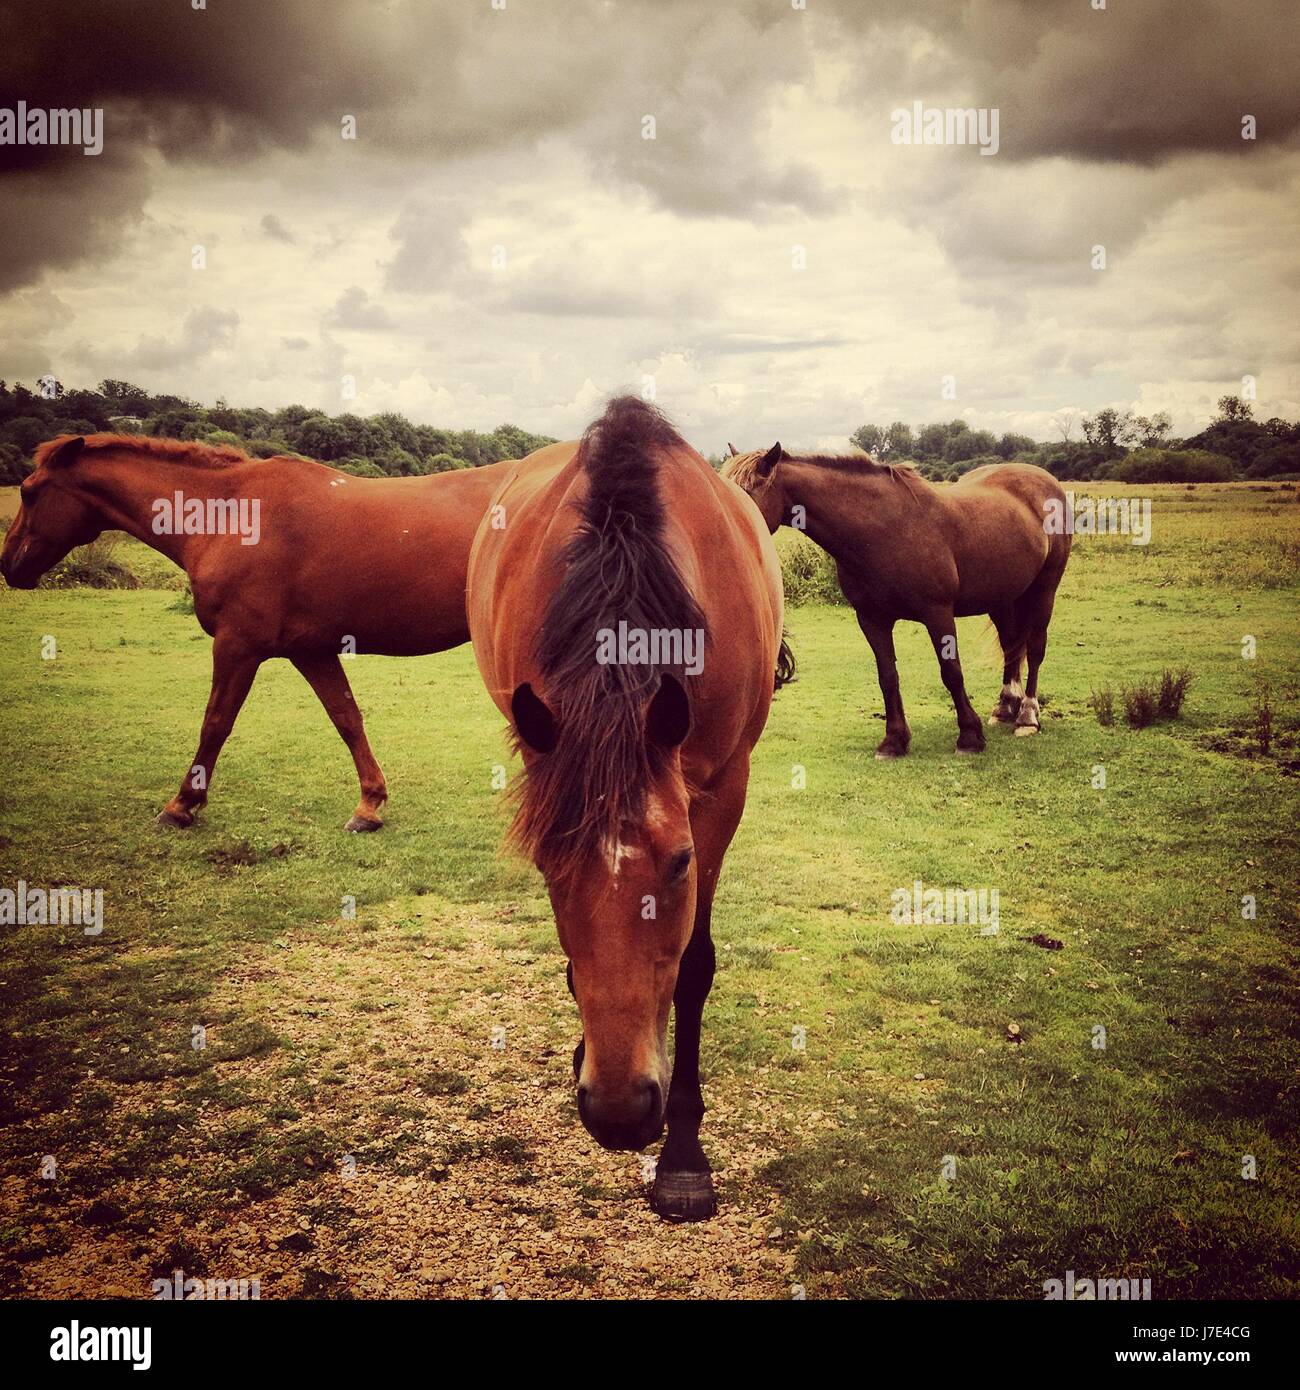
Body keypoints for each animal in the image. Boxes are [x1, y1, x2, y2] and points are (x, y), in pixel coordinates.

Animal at [2, 433, 517, 822]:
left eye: (28, 491)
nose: (8, 564)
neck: (229, 514)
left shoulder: (238, 646)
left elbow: (215, 722)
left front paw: (182, 804)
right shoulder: (312, 651)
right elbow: (347, 718)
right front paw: (370, 804)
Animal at [469, 397, 795, 1223]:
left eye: (679, 864)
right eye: (546, 867)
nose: (618, 1113)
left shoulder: (722, 792)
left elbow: (693, 965)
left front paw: (683, 1157)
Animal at [722, 444, 1067, 756]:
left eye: (746, 494)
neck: (884, 530)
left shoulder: (938, 614)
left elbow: (951, 672)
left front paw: (969, 737)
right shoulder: (872, 619)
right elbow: (887, 677)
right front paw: (894, 741)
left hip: (1044, 589)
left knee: (1035, 649)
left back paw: (1027, 717)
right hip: (1003, 598)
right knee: (1011, 645)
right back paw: (1005, 707)